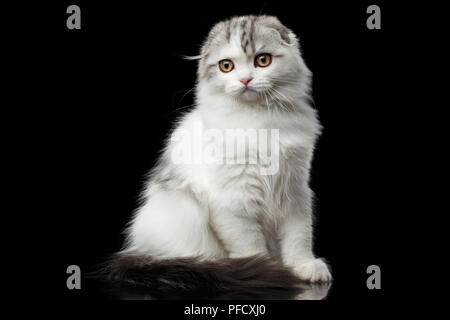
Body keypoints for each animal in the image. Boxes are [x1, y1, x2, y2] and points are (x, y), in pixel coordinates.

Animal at [103, 15, 332, 300]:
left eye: (263, 60)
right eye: (226, 66)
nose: (245, 80)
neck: (260, 120)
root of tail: (138, 247)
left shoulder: (295, 190)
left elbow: (299, 236)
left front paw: (303, 267)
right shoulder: (235, 198)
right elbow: (250, 245)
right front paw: (265, 268)